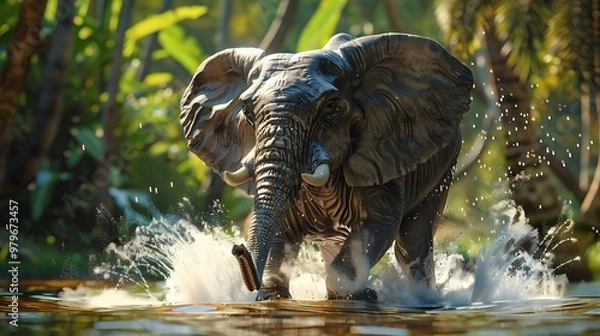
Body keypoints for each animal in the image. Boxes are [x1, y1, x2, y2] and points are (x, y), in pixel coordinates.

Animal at [179, 32, 474, 300]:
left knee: (413, 242)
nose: (238, 250)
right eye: (247, 112)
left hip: (445, 162)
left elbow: (380, 223)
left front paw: (355, 296)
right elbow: (281, 230)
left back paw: (422, 298)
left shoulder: (379, 154)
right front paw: (272, 295)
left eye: (331, 109)